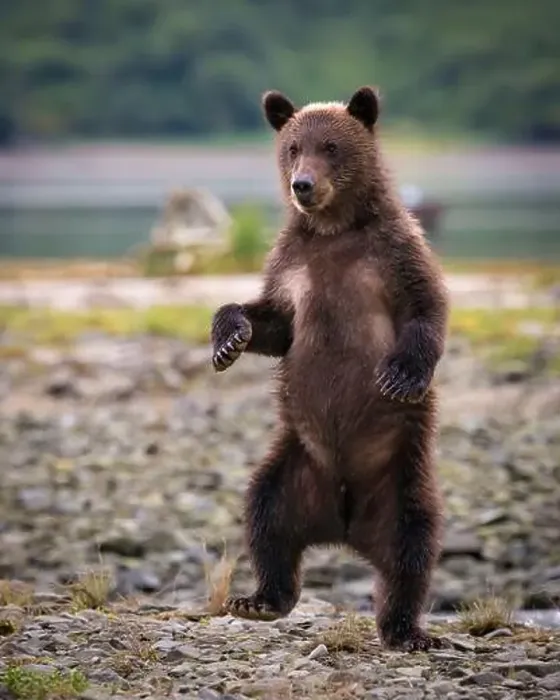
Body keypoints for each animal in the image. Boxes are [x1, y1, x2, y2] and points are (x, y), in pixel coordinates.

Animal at [210, 85, 449, 652]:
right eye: (294, 147)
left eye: (332, 147)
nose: (303, 185)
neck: (334, 227)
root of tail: (343, 522)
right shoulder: (292, 265)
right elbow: (274, 323)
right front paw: (228, 339)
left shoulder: (394, 253)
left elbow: (425, 309)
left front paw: (399, 375)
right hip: (297, 464)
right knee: (265, 512)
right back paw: (260, 599)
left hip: (401, 475)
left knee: (413, 542)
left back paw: (406, 630)